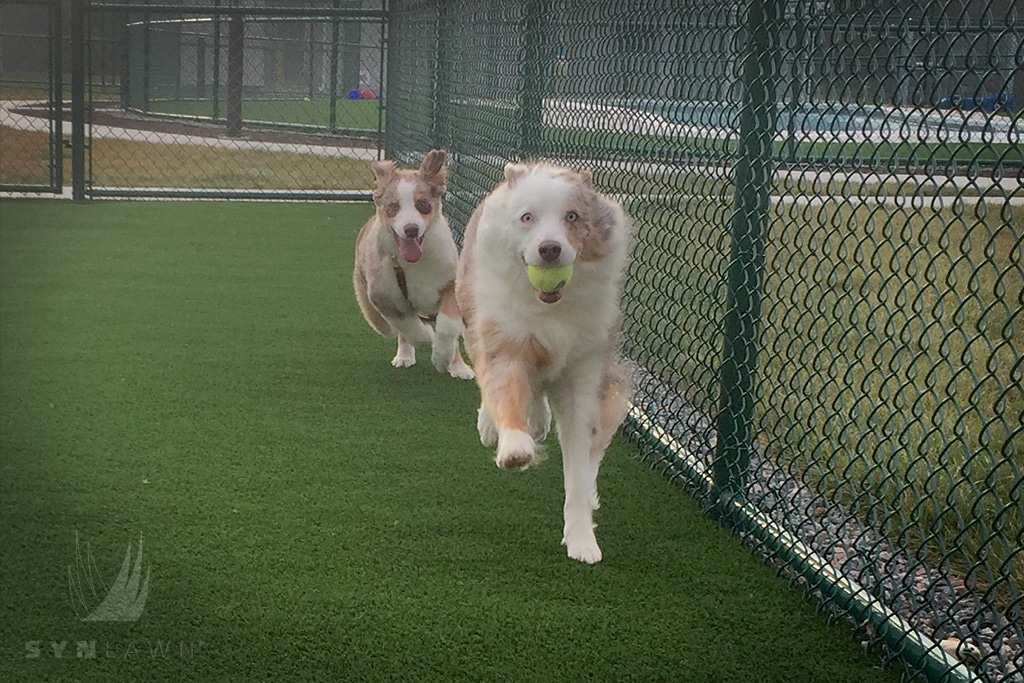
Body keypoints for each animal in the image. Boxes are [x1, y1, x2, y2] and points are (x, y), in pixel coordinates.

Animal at [354, 150, 473, 382]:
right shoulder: (383, 297)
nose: (411, 229)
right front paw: (426, 337)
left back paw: (458, 367)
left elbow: (448, 326)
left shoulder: (450, 283)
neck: (414, 264)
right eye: (393, 207)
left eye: (423, 204)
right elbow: (407, 325)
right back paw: (404, 356)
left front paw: (444, 358)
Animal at [456, 161, 630, 565]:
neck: (551, 310)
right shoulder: (505, 344)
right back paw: (494, 426)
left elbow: (580, 467)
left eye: (572, 217)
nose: (549, 249)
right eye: (527, 218)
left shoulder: (585, 373)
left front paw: (582, 538)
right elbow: (505, 395)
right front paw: (514, 448)